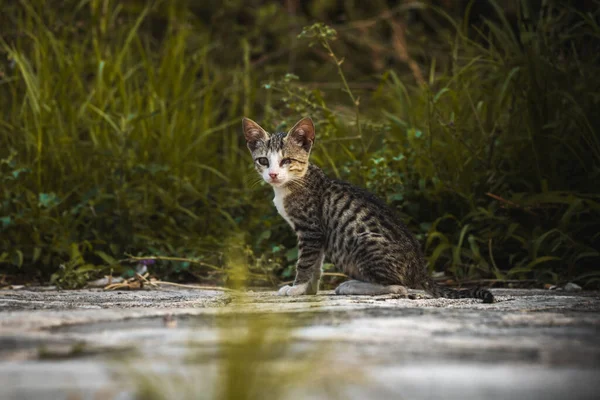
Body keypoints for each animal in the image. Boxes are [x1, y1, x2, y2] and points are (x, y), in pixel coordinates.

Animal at [241, 115, 494, 304]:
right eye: (263, 161)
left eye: (287, 161)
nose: (273, 174)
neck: (295, 182)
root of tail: (420, 269)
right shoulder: (318, 234)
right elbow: (316, 265)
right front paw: (310, 290)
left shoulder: (310, 229)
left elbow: (305, 262)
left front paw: (296, 288)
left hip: (361, 241)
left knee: (399, 286)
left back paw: (350, 285)